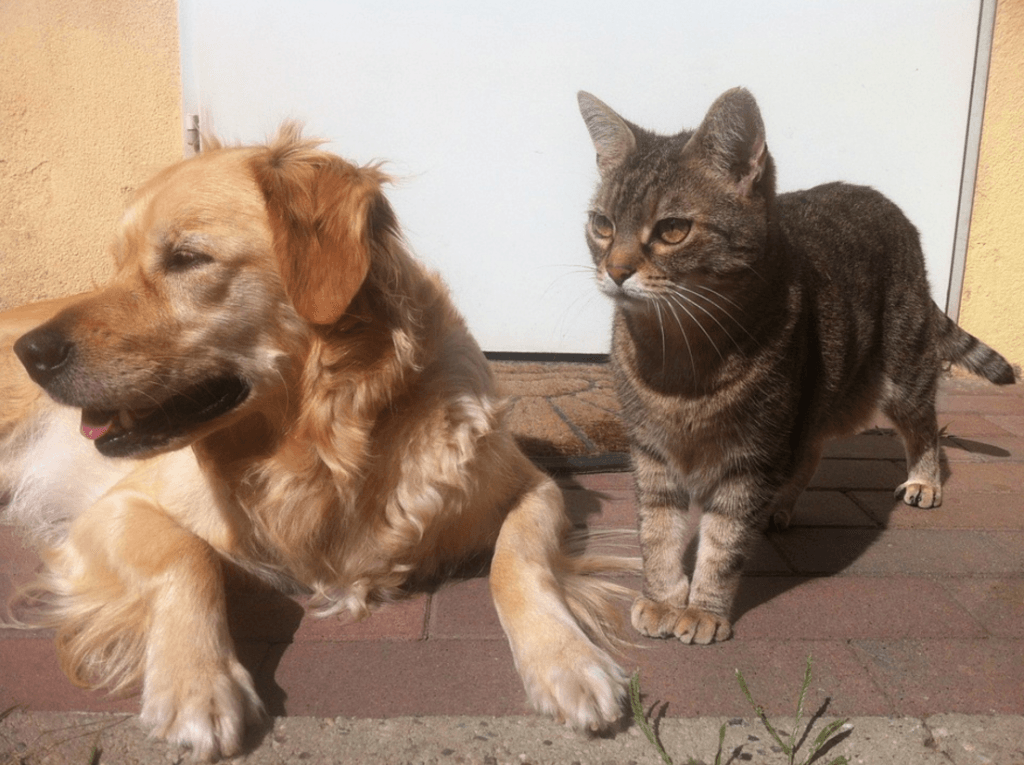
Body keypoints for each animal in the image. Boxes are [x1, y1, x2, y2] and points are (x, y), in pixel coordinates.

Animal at [2, 126, 630, 761]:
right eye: (116, 265)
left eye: (186, 258)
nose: (33, 354)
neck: (325, 447)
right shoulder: (112, 508)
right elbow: (188, 554)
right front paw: (195, 683)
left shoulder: (533, 485)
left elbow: (518, 559)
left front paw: (566, 660)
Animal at [577, 86, 1015, 643]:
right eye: (602, 225)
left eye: (673, 229)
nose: (615, 271)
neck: (681, 356)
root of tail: (880, 197)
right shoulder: (652, 453)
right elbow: (657, 532)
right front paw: (662, 598)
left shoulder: (751, 455)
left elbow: (724, 541)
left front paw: (703, 609)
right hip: (814, 399)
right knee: (810, 452)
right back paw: (781, 506)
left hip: (899, 371)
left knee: (924, 427)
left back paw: (924, 481)